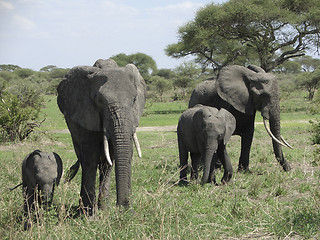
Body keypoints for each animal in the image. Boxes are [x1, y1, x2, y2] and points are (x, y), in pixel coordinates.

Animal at [57, 58, 146, 214]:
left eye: (134, 99)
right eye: (99, 100)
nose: (124, 208)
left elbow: (116, 156)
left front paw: (109, 211)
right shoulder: (85, 112)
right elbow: (90, 155)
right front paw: (89, 214)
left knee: (105, 163)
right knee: (85, 158)